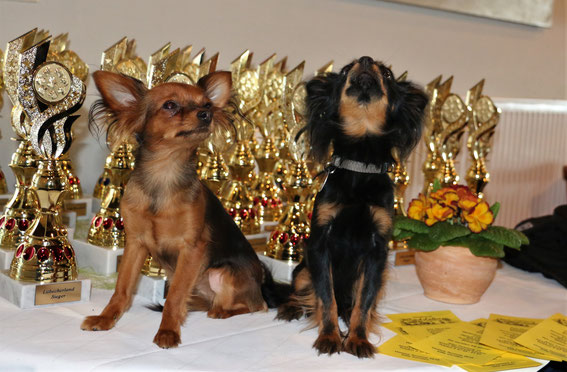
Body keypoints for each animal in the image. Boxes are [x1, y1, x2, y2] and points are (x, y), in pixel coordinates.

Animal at [278, 56, 428, 358]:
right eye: (346, 70)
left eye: (387, 74)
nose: (366, 60)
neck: (361, 165)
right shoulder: (320, 245)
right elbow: (326, 298)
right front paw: (330, 336)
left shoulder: (376, 252)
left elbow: (364, 301)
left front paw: (358, 338)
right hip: (304, 269)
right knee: (300, 289)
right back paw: (292, 306)